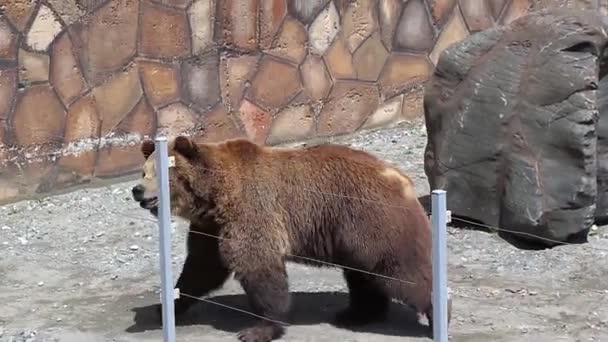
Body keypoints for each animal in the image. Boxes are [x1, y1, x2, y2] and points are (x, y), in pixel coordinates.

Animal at [132, 136, 446, 342]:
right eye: (144, 171)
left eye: (159, 173)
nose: (137, 190)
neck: (215, 195)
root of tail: (401, 178)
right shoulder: (211, 227)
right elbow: (200, 269)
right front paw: (165, 307)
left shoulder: (253, 211)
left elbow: (258, 267)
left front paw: (258, 329)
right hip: (354, 235)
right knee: (363, 276)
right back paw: (357, 314)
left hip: (371, 221)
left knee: (400, 272)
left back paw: (436, 314)